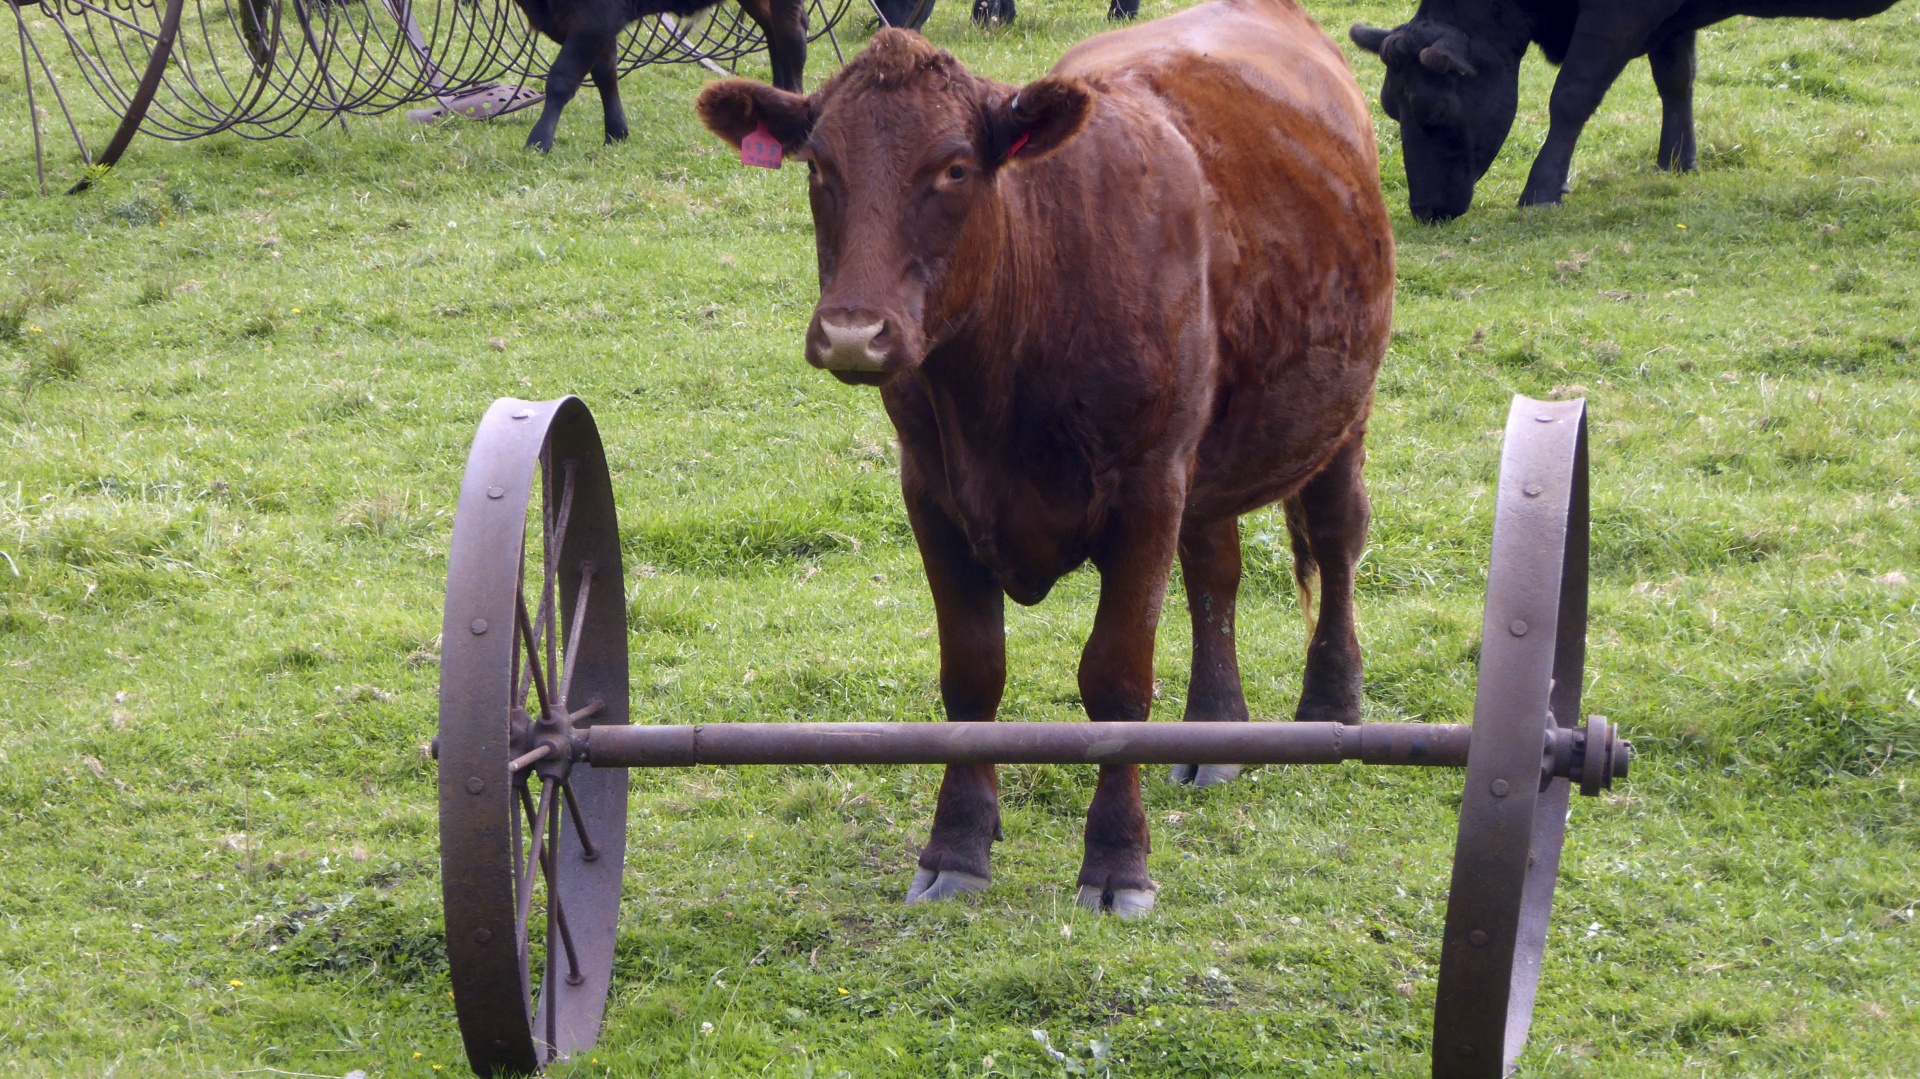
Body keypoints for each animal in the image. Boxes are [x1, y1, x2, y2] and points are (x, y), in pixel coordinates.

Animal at [514, 0, 806, 152]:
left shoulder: (595, 20)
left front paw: (538, 141)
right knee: (774, 30)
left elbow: (561, 79)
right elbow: (605, 73)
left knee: (791, 34)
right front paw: (616, 132)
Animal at [698, 0, 1390, 910]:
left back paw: (1331, 705)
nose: (853, 332)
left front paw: (1117, 860)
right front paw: (957, 843)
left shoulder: (1145, 489)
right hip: (1206, 455)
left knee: (1337, 539)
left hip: (1339, 413)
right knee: (1217, 568)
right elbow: (971, 672)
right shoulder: (933, 490)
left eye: (956, 168)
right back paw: (1213, 730)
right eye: (818, 165)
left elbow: (1116, 677)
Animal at [1359, 0, 1912, 220]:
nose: (1425, 210)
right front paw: (1677, 164)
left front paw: (1542, 191)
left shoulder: (1619, 16)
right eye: (1389, 108)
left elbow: (1571, 95)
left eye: (1436, 111)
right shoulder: (1673, 21)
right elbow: (1676, 79)